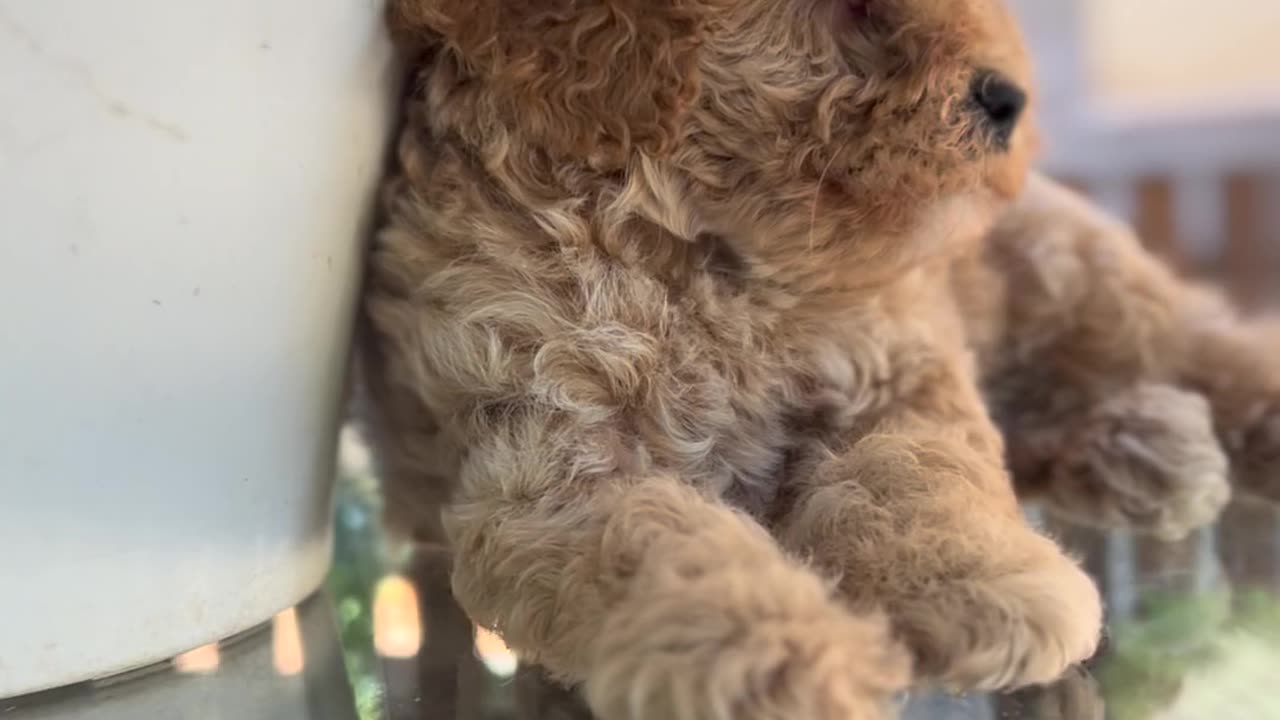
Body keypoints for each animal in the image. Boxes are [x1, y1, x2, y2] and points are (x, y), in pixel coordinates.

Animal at [358, 0, 1100, 712]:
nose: (1008, 98)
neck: (701, 252)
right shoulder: (549, 470)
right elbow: (661, 540)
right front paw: (786, 657)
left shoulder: (902, 370)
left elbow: (918, 467)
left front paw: (983, 574)